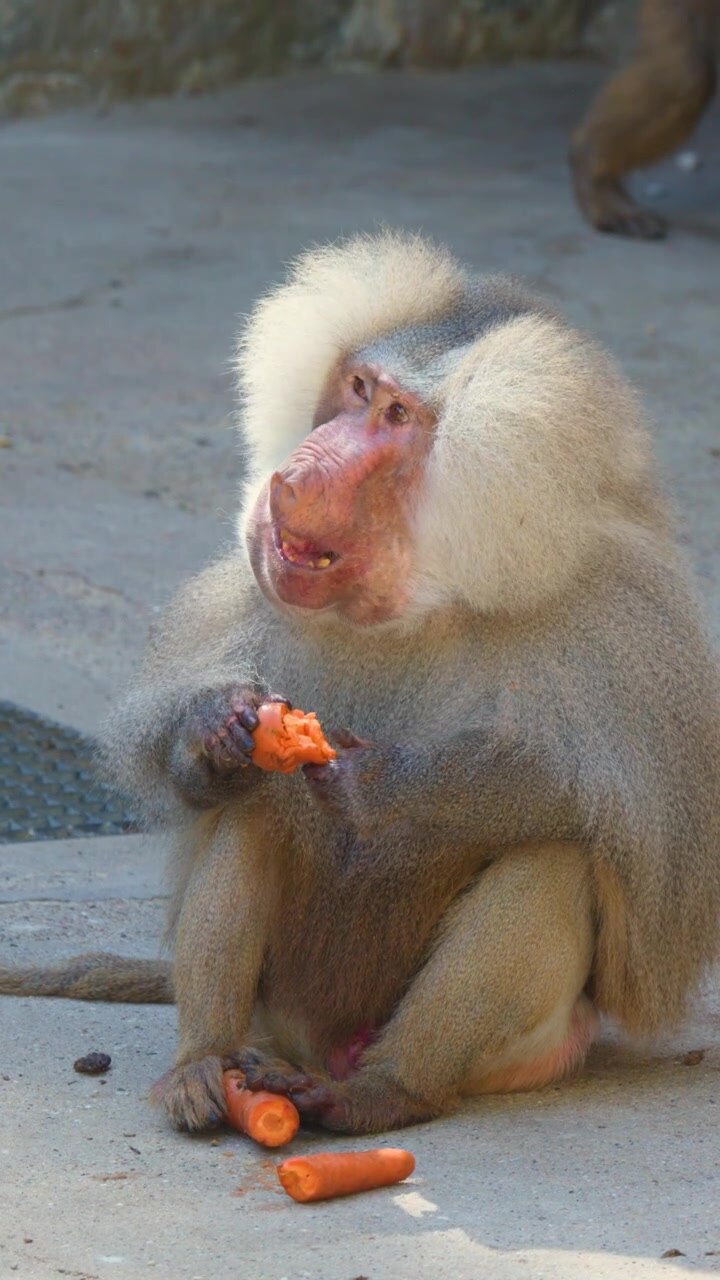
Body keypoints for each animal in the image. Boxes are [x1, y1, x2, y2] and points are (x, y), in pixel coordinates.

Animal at [1, 231, 719, 1136]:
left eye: (398, 417)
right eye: (357, 387)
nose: (294, 479)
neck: (425, 598)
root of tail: (326, 1050)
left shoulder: (627, 626)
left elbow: (629, 847)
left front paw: (373, 785)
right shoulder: (248, 598)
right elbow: (204, 762)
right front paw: (213, 730)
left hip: (520, 1053)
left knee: (555, 859)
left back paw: (380, 1093)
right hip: (282, 1013)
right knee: (257, 806)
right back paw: (201, 1065)